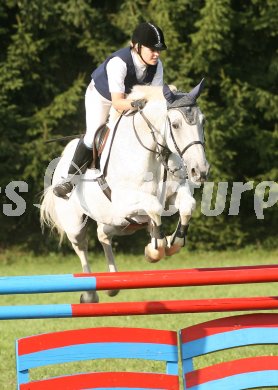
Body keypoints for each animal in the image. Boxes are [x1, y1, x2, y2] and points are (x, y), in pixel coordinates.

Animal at [40, 80, 208, 304]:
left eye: (203, 122)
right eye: (175, 125)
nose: (201, 171)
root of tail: (62, 160)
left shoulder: (172, 195)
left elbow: (187, 206)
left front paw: (170, 243)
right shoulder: (125, 201)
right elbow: (154, 206)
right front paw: (156, 249)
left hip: (119, 222)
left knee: (103, 234)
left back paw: (113, 284)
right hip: (77, 223)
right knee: (81, 246)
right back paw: (90, 294)